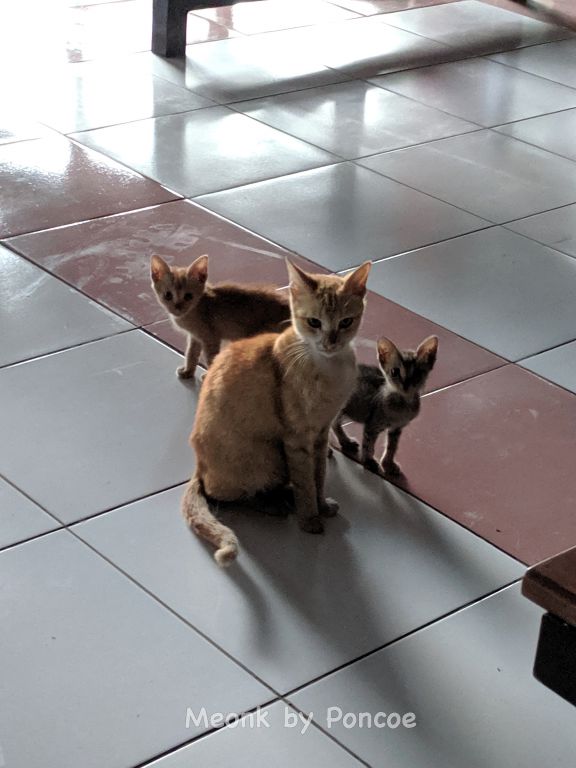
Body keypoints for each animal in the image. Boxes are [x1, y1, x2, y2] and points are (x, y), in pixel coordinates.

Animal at [150, 254, 291, 378]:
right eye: (168, 295)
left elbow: (211, 358)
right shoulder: (195, 336)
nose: (178, 307)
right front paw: (188, 371)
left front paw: (209, 376)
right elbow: (191, 353)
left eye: (188, 296)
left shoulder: (211, 337)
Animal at [181, 259, 372, 566]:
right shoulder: (297, 439)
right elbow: (306, 482)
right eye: (314, 322)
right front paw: (310, 519)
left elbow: (318, 476)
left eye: (346, 322)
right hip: (267, 457)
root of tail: (199, 468)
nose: (330, 342)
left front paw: (321, 505)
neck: (329, 370)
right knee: (228, 495)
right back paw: (276, 504)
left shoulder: (320, 434)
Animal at [332, 335, 438, 477]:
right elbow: (368, 445)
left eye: (417, 374)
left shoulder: (397, 427)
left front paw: (388, 464)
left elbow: (392, 446)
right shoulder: (372, 425)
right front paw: (369, 461)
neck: (402, 406)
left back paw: (345, 441)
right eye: (394, 372)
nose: (405, 385)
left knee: (334, 423)